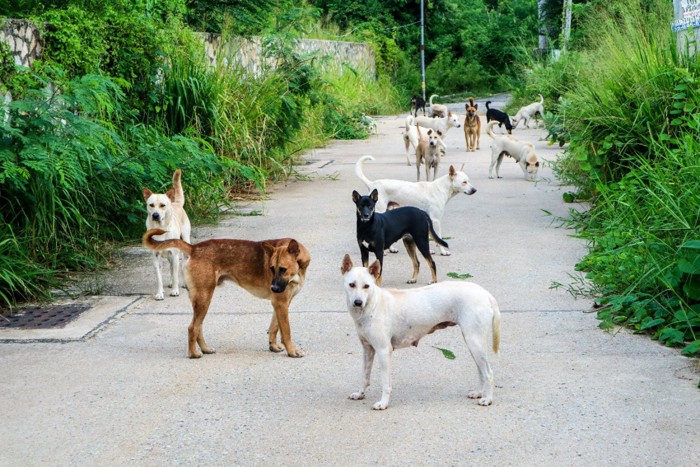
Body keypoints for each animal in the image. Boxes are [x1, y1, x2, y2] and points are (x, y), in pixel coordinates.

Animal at [142, 168, 191, 300]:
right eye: (151, 205)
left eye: (162, 205)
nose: (155, 215)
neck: (160, 229)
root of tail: (176, 203)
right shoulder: (156, 257)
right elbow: (159, 278)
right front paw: (159, 293)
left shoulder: (174, 254)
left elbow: (176, 275)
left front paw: (175, 290)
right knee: (171, 268)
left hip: (184, 243)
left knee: (180, 266)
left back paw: (184, 283)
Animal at [142, 229, 308, 358]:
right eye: (272, 268)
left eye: (283, 269)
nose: (273, 288)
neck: (298, 269)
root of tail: (194, 248)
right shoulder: (281, 303)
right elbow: (286, 331)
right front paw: (292, 351)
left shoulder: (280, 304)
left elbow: (274, 327)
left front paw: (273, 346)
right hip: (204, 298)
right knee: (192, 327)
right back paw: (194, 354)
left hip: (201, 300)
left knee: (198, 326)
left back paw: (205, 349)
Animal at [340, 254, 500, 412]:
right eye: (352, 285)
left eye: (367, 286)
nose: (358, 302)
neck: (372, 304)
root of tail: (486, 294)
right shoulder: (368, 350)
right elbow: (364, 376)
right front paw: (360, 394)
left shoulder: (383, 351)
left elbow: (386, 383)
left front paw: (383, 403)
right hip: (473, 344)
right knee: (481, 371)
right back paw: (479, 393)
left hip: (474, 342)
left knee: (489, 373)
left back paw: (488, 399)